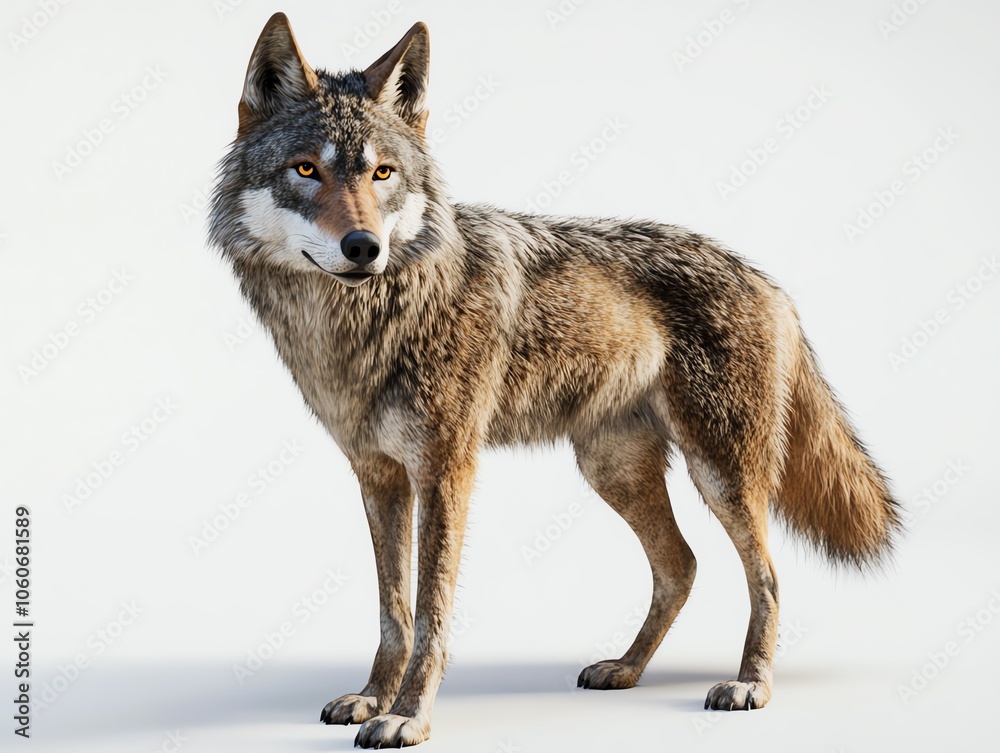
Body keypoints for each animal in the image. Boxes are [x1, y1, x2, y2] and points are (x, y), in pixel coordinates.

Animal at [208, 13, 901, 748]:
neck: (371, 321)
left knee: (765, 573)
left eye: (382, 172)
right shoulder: (378, 476)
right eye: (306, 169)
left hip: (720, 474)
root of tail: (771, 283)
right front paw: (372, 698)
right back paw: (625, 668)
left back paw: (751, 685)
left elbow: (430, 612)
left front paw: (409, 716)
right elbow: (393, 610)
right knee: (680, 565)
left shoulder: (446, 469)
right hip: (610, 470)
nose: (365, 248)